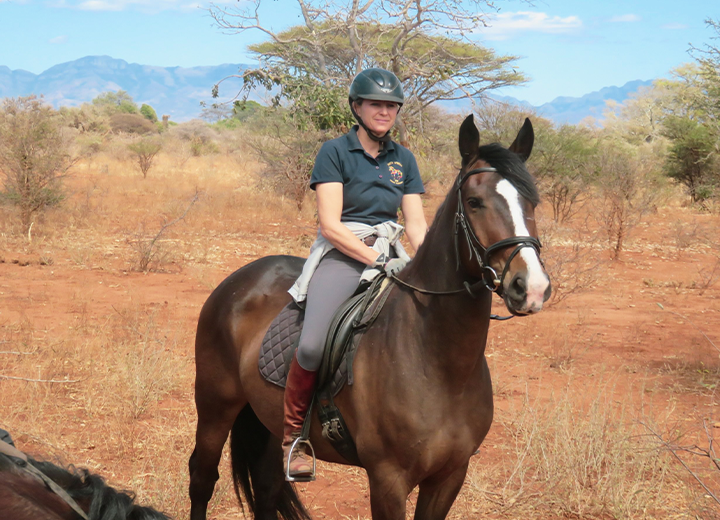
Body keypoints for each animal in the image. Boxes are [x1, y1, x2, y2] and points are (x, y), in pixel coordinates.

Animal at [188, 114, 551, 520]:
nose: (531, 287)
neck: (438, 362)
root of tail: (239, 279)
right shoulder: (387, 479)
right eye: (475, 202)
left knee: (266, 488)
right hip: (215, 405)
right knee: (202, 477)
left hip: (266, 419)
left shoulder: (450, 475)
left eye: (533, 201)